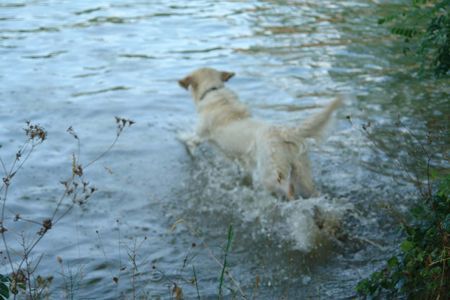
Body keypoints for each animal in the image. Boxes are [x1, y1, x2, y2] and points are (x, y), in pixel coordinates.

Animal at [178, 67, 340, 199]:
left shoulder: (201, 135)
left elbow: (190, 140)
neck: (213, 90)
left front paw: (182, 141)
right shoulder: (242, 161)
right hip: (302, 172)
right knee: (311, 190)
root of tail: (286, 132)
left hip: (269, 174)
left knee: (288, 190)